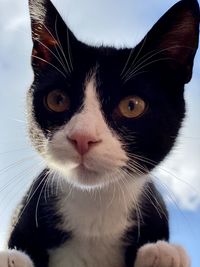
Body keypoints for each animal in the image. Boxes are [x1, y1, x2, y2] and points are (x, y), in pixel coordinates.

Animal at [0, 0, 199, 266]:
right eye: (57, 99)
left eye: (132, 105)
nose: (82, 137)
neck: (95, 205)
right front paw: (12, 257)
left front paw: (163, 253)